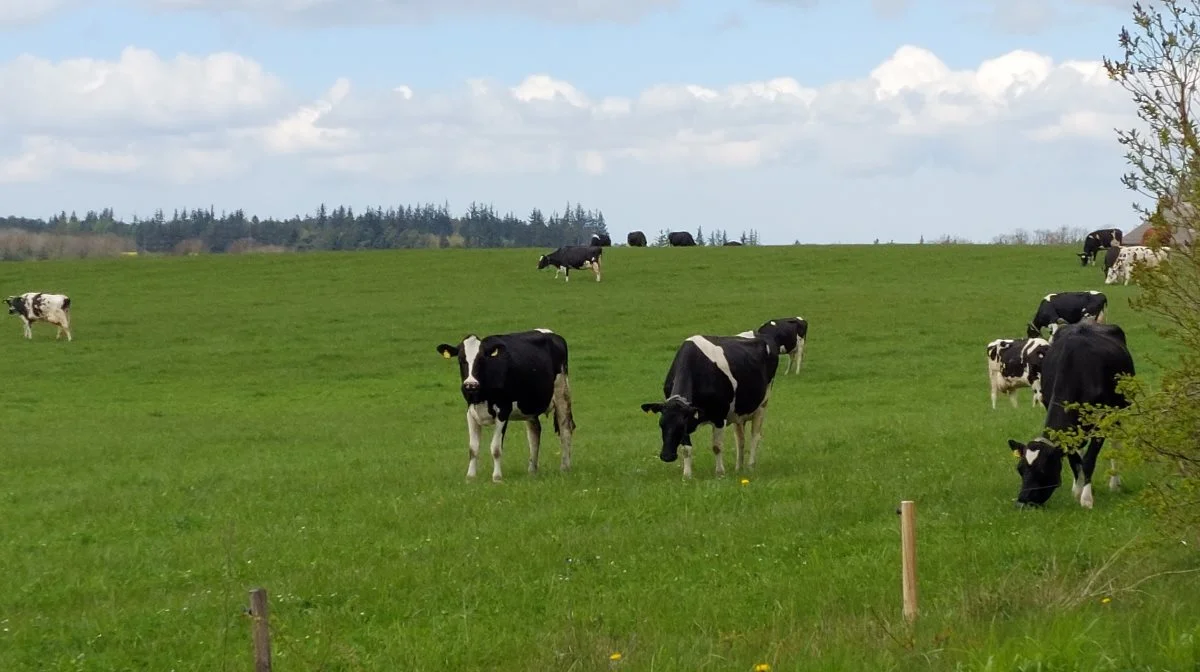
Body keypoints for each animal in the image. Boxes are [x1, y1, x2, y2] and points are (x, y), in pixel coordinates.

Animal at [436, 328, 576, 480]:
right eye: (461, 360)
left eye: (481, 359)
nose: (470, 384)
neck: (481, 397)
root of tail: (552, 334)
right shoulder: (471, 412)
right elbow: (473, 448)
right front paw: (470, 477)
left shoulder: (503, 411)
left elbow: (496, 448)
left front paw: (497, 477)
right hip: (529, 405)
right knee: (534, 432)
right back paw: (532, 470)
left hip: (562, 392)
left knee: (565, 429)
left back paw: (565, 467)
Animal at [1003, 324, 1132, 506]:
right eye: (1020, 469)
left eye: (1043, 470)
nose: (1022, 502)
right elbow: (1074, 459)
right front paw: (1077, 491)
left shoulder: (1102, 419)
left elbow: (1089, 460)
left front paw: (1086, 498)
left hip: (1119, 410)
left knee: (1115, 444)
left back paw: (1115, 484)